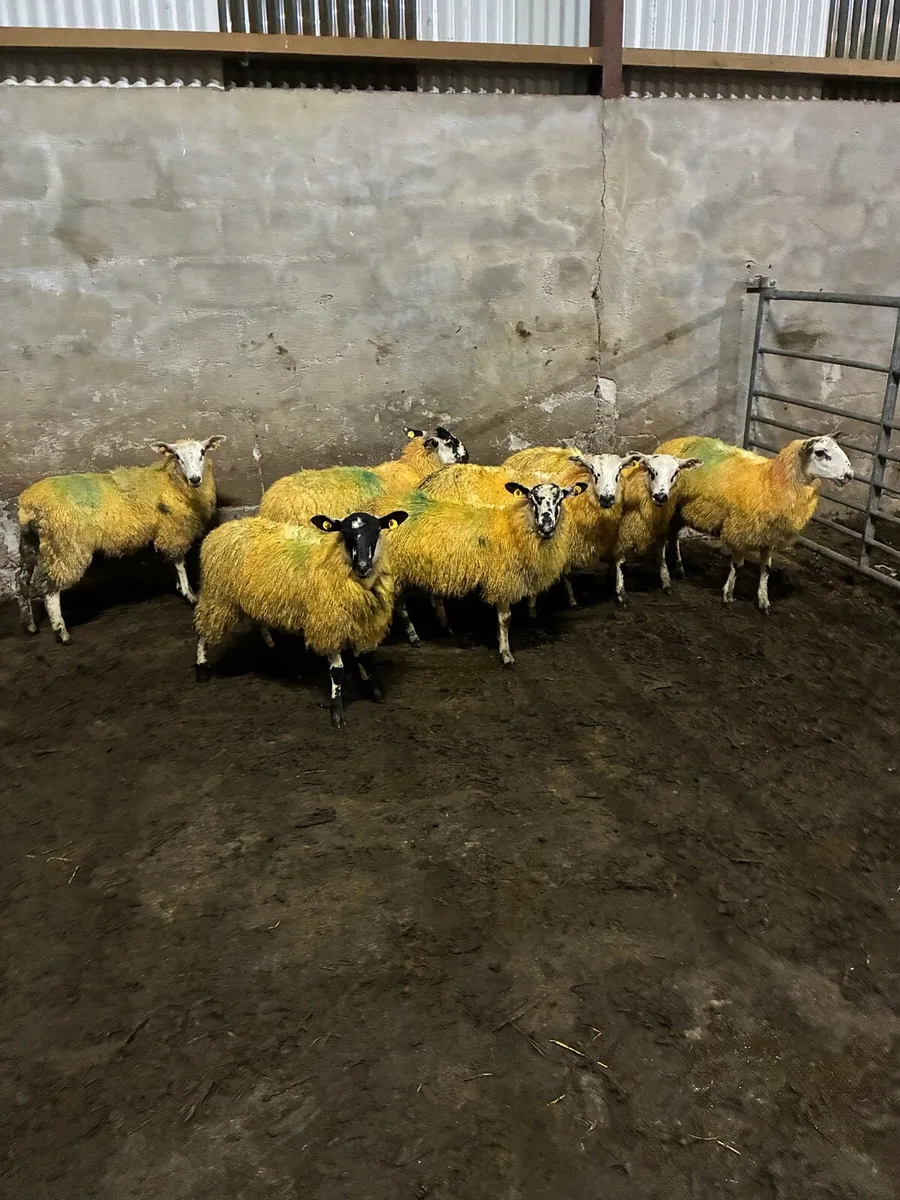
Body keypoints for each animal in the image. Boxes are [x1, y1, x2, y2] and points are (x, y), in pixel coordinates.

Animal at [16, 436, 226, 644]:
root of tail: (30, 503)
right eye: (177, 456)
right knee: (49, 589)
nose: (195, 479)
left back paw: (30, 624)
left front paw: (179, 587)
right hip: (67, 546)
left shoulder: (168, 533)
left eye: (202, 452)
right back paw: (61, 631)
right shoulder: (174, 531)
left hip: (33, 544)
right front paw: (189, 593)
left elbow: (173, 561)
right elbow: (180, 563)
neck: (171, 481)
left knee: (22, 581)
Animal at [194, 509, 408, 728]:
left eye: (376, 531)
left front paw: (374, 690)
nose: (363, 566)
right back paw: (201, 670)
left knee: (258, 621)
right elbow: (337, 671)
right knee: (203, 631)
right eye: (345, 533)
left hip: (255, 597)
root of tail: (221, 529)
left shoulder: (360, 621)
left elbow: (363, 657)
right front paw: (337, 712)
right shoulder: (326, 623)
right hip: (217, 597)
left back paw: (272, 648)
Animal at [387, 480, 586, 665]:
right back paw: (413, 636)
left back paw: (444, 628)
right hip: (395, 572)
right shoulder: (503, 578)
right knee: (400, 606)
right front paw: (506, 653)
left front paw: (499, 639)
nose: (547, 528)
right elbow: (505, 618)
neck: (513, 528)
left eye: (559, 500)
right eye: (532, 499)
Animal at [610, 453, 702, 606]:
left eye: (676, 472)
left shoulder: (659, 530)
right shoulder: (622, 532)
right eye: (650, 470)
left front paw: (666, 581)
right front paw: (621, 593)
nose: (660, 496)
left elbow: (660, 554)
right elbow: (620, 561)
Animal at [656, 434, 853, 613]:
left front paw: (764, 601)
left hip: (680, 512)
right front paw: (728, 596)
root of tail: (674, 441)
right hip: (668, 507)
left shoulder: (768, 536)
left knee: (674, 536)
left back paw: (679, 568)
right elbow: (737, 566)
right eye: (820, 452)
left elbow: (766, 569)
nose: (849, 475)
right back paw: (666, 579)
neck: (772, 480)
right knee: (663, 541)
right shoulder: (740, 530)